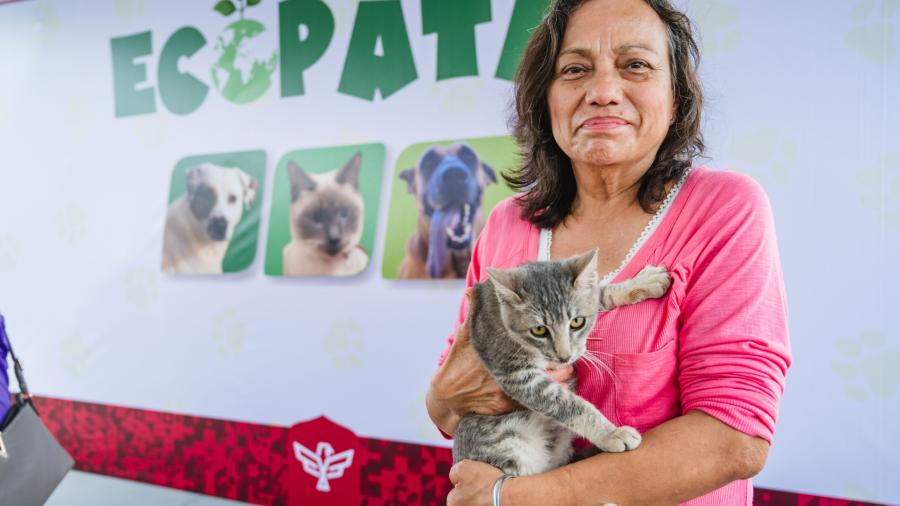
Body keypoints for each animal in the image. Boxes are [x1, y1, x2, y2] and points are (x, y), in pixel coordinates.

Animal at [454, 251, 672, 476]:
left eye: (577, 322)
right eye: (539, 330)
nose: (564, 356)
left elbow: (601, 292)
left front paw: (644, 281)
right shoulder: (515, 373)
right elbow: (569, 405)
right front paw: (610, 433)